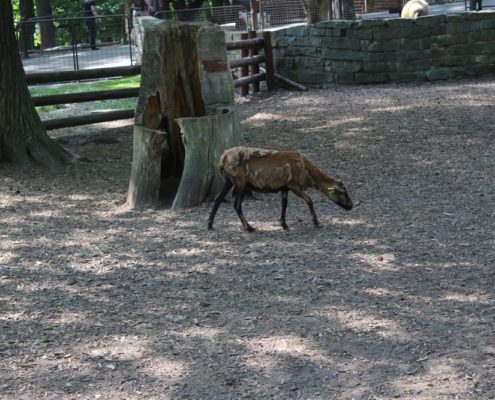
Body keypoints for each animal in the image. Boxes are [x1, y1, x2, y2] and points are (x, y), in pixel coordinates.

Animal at [207, 148, 354, 233]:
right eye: (343, 192)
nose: (351, 206)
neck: (308, 172)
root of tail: (223, 158)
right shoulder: (294, 186)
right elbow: (309, 200)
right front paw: (316, 222)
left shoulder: (285, 187)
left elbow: (284, 205)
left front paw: (284, 224)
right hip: (240, 182)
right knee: (236, 205)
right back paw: (249, 228)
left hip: (228, 181)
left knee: (218, 199)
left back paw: (210, 224)